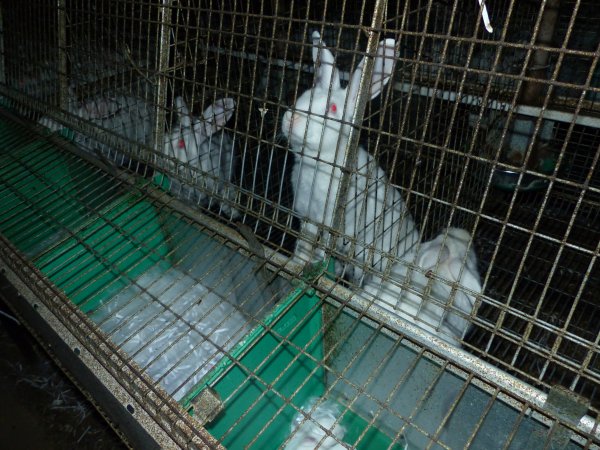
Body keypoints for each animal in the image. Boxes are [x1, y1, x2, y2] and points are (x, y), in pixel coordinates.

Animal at [280, 31, 418, 284]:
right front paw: (298, 263)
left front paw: (317, 266)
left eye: (333, 109)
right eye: (304, 95)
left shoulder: (333, 224)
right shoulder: (308, 218)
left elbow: (323, 248)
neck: (317, 163)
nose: (292, 118)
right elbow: (304, 244)